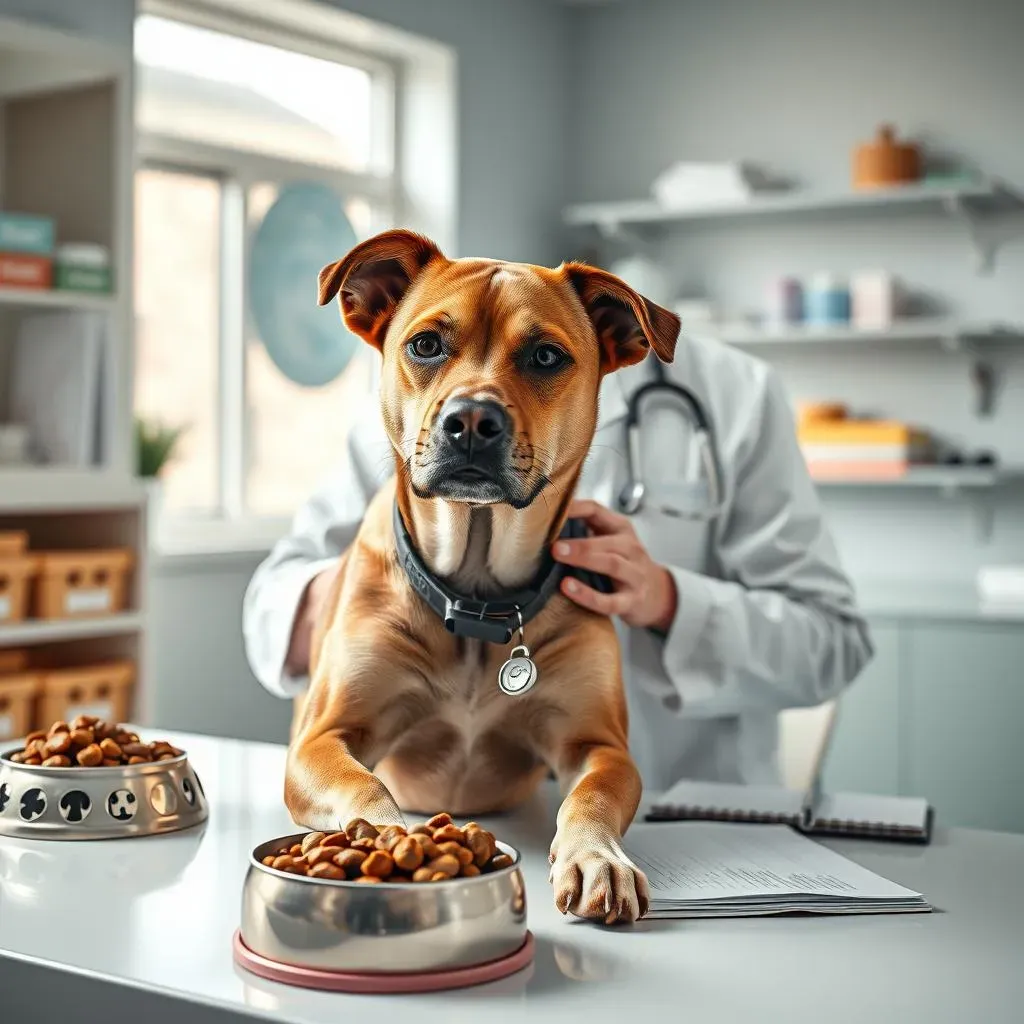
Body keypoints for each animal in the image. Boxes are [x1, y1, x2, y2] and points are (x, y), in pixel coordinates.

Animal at [286, 232, 679, 929]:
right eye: (425, 344)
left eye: (546, 355)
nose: (471, 419)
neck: (475, 597)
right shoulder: (320, 738)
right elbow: (362, 781)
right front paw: (390, 837)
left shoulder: (600, 744)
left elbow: (593, 797)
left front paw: (596, 858)